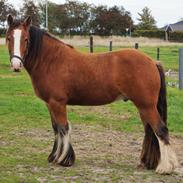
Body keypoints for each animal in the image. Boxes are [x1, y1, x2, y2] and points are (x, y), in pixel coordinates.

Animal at [6, 15, 179, 174]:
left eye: (26, 39)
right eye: (8, 38)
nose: (16, 65)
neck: (51, 60)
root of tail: (152, 62)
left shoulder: (58, 103)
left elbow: (63, 128)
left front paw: (64, 159)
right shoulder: (49, 104)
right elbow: (56, 129)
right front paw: (54, 156)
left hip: (146, 106)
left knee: (160, 130)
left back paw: (165, 168)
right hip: (143, 107)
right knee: (150, 131)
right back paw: (147, 163)